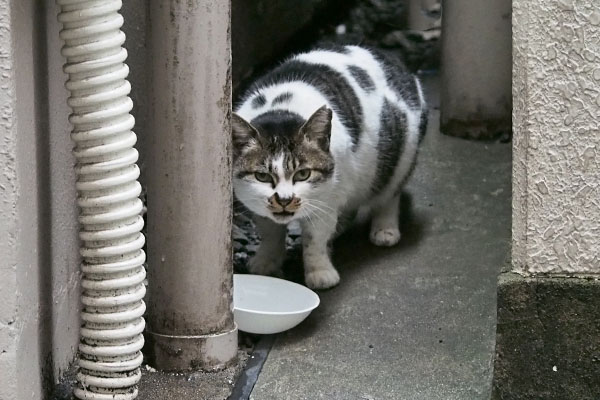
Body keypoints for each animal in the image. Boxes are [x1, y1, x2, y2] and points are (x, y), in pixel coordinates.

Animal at [231, 45, 426, 290]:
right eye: (262, 177)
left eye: (303, 174)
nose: (284, 200)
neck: (281, 109)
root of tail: (393, 59)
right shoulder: (260, 207)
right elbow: (269, 232)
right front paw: (265, 263)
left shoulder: (325, 202)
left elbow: (315, 240)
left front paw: (320, 274)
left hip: (400, 157)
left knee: (389, 195)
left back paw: (384, 230)